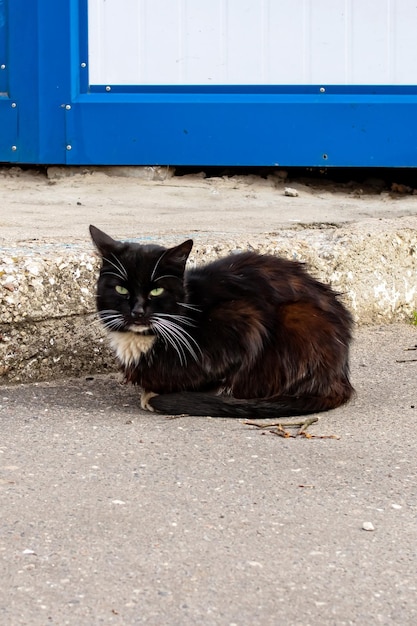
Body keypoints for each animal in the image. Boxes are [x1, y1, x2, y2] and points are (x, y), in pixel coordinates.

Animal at [89, 227, 352, 416]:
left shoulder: (244, 320)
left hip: (298, 317)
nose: (137, 311)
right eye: (121, 289)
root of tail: (340, 376)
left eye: (156, 291)